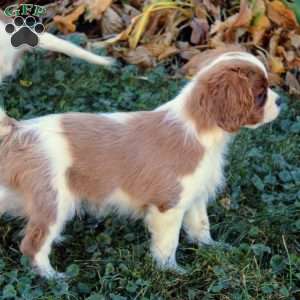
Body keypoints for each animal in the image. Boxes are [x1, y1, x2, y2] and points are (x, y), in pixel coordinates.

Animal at [0, 48, 282, 276]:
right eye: (260, 94)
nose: (280, 100)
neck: (198, 129)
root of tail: (18, 130)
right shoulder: (168, 206)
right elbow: (168, 244)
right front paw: (172, 271)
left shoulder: (194, 197)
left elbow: (201, 225)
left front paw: (213, 247)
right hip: (54, 201)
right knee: (33, 244)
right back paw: (54, 277)